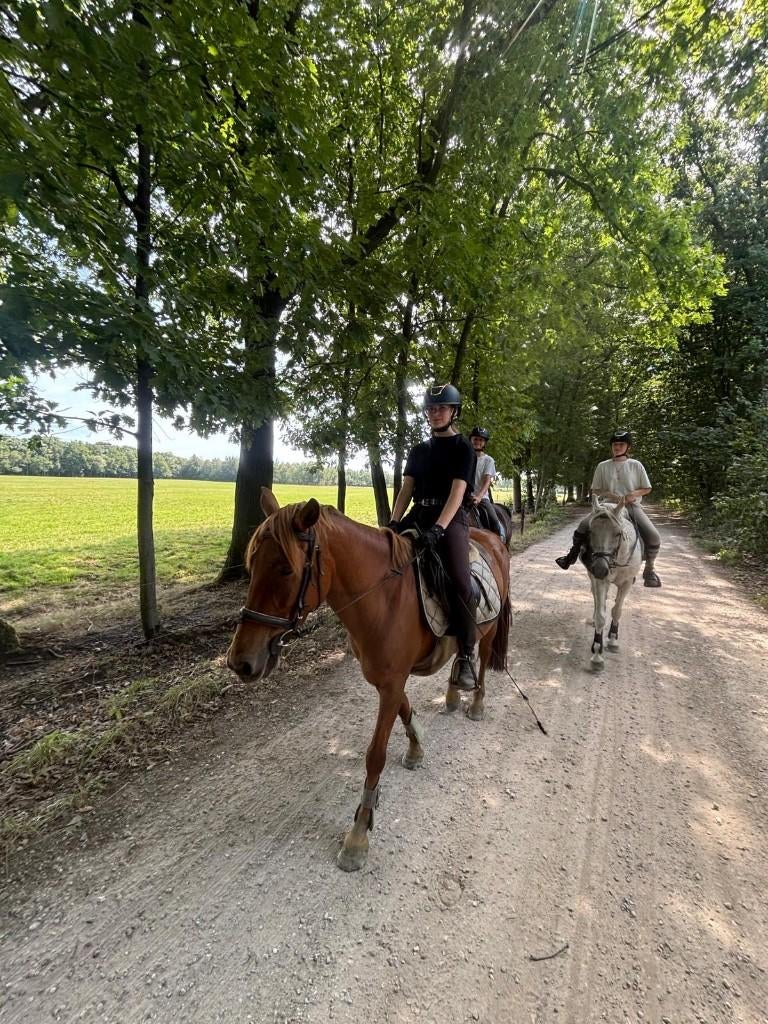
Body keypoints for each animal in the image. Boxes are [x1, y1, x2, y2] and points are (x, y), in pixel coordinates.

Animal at [226, 488, 511, 872]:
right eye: (251, 565)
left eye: (286, 569)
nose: (239, 662)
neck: (382, 597)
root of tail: (493, 539)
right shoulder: (386, 678)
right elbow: (405, 709)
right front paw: (417, 747)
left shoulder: (391, 683)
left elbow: (375, 755)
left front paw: (359, 833)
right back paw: (453, 694)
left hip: (489, 630)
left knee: (480, 664)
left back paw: (476, 702)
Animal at [580, 495, 642, 669]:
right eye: (590, 531)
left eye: (617, 533)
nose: (600, 569)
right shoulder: (600, 581)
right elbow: (601, 615)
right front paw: (597, 654)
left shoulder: (627, 583)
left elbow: (617, 611)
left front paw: (613, 639)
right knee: (596, 599)